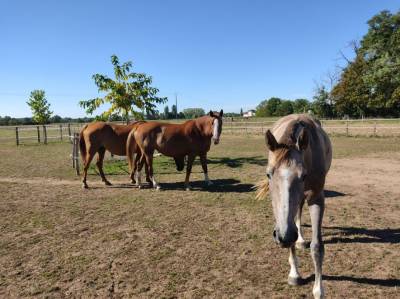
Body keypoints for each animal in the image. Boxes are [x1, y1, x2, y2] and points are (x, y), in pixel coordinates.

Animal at [258, 113, 332, 298]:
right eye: (268, 174)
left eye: (303, 175)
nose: (284, 236)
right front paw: (294, 274)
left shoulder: (317, 198)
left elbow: (317, 247)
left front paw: (319, 290)